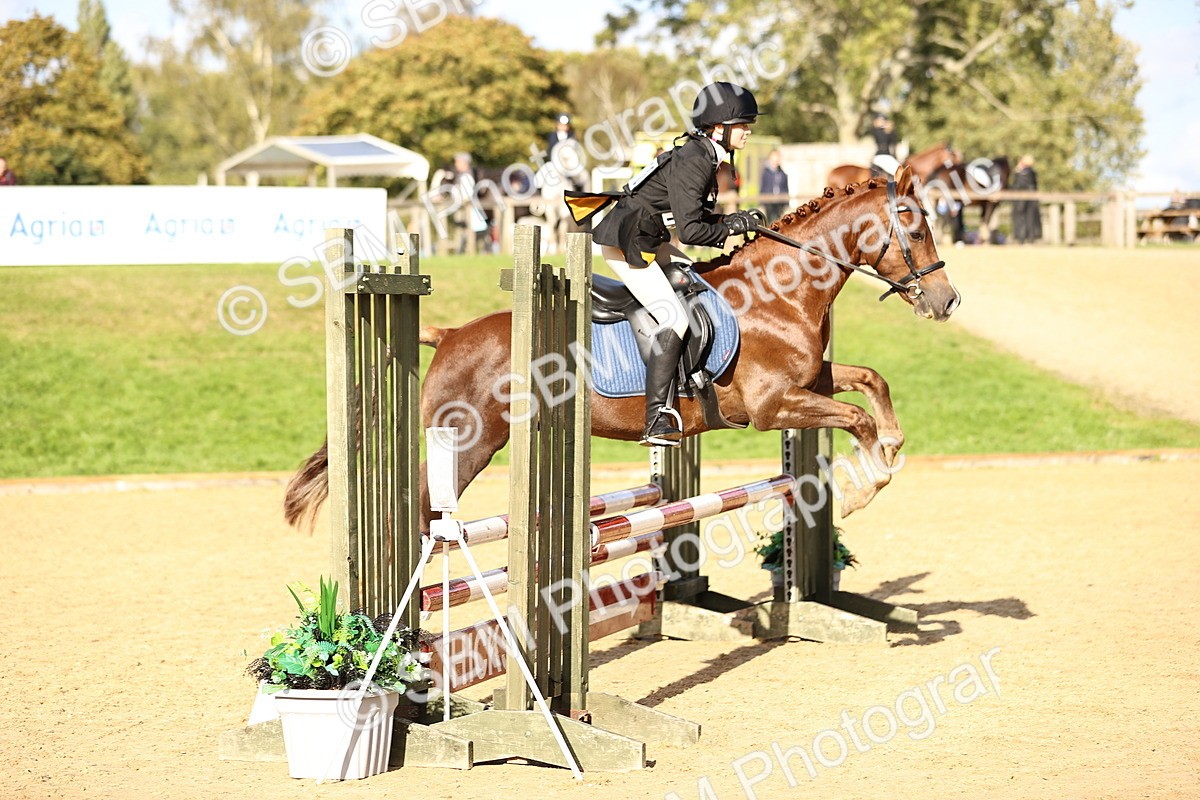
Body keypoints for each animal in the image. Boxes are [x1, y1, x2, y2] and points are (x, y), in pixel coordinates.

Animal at [283, 165, 960, 535]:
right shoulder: (774, 407)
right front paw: (866, 487)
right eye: (916, 226)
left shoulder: (810, 384)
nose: (947, 300)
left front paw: (891, 446)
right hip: (469, 443)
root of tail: (449, 334)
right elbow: (856, 417)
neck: (779, 295)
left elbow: (870, 382)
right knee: (423, 511)